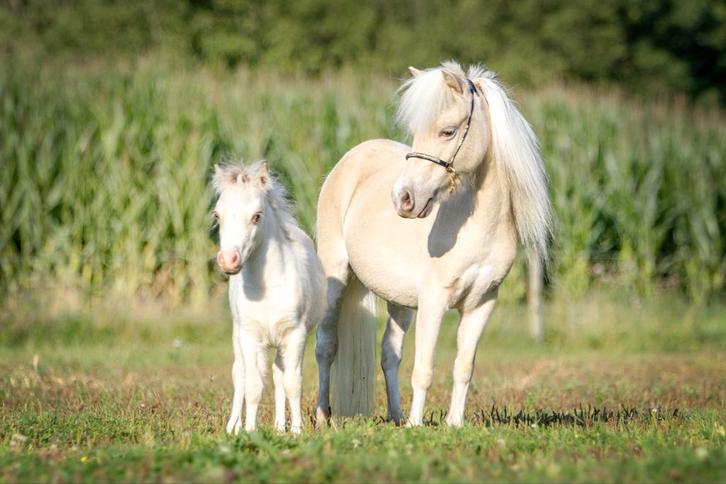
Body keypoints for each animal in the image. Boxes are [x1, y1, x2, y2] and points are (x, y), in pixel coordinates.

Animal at [213, 161, 326, 434]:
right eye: (217, 215)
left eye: (257, 215)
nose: (228, 260)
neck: (268, 289)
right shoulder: (250, 337)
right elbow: (253, 385)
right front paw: (249, 431)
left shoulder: (295, 335)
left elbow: (292, 382)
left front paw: (296, 431)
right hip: (238, 334)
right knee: (240, 372)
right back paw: (233, 426)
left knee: (278, 374)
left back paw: (279, 426)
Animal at [314, 61, 551, 426]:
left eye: (448, 132)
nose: (404, 199)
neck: (477, 225)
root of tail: (350, 159)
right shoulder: (434, 301)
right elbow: (424, 368)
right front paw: (417, 425)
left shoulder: (482, 303)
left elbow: (463, 367)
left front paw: (454, 424)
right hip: (336, 278)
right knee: (326, 346)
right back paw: (322, 417)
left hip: (399, 300)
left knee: (389, 353)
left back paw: (396, 417)